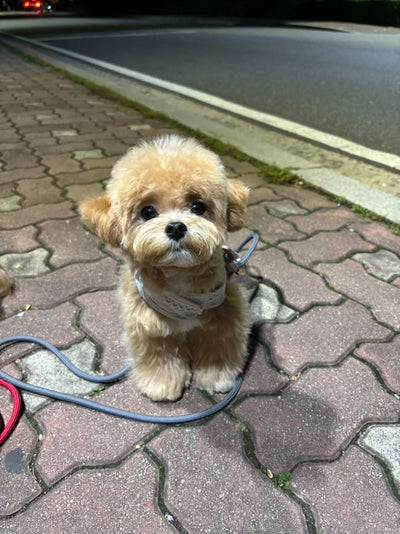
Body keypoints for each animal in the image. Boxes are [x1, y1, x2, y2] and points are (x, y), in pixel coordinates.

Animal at [79, 135, 250, 402]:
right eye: (148, 211)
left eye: (198, 207)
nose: (176, 227)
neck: (179, 277)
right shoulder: (149, 326)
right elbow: (160, 358)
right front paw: (161, 384)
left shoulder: (224, 316)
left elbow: (218, 348)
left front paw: (216, 376)